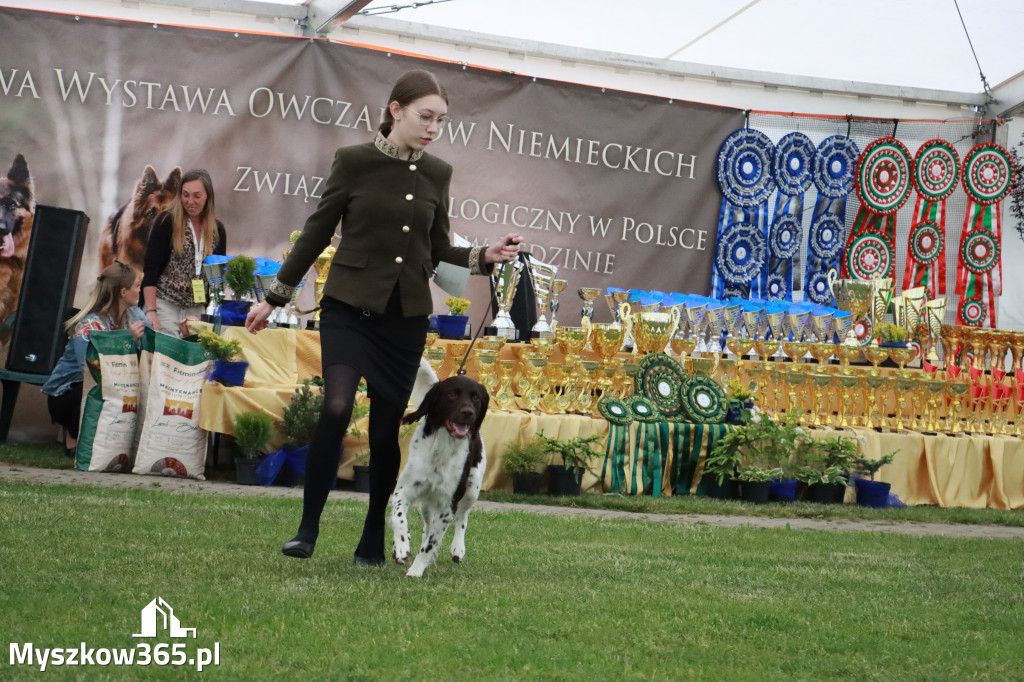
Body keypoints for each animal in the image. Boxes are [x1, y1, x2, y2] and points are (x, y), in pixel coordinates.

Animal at [389, 372, 489, 573]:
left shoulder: (447, 506)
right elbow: (398, 517)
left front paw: (415, 571)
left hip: (472, 488)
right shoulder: (403, 491)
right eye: (452, 394)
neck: (442, 448)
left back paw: (458, 549)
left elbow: (430, 544)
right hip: (427, 504)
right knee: (427, 526)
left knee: (462, 517)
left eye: (475, 398)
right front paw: (402, 547)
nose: (468, 413)